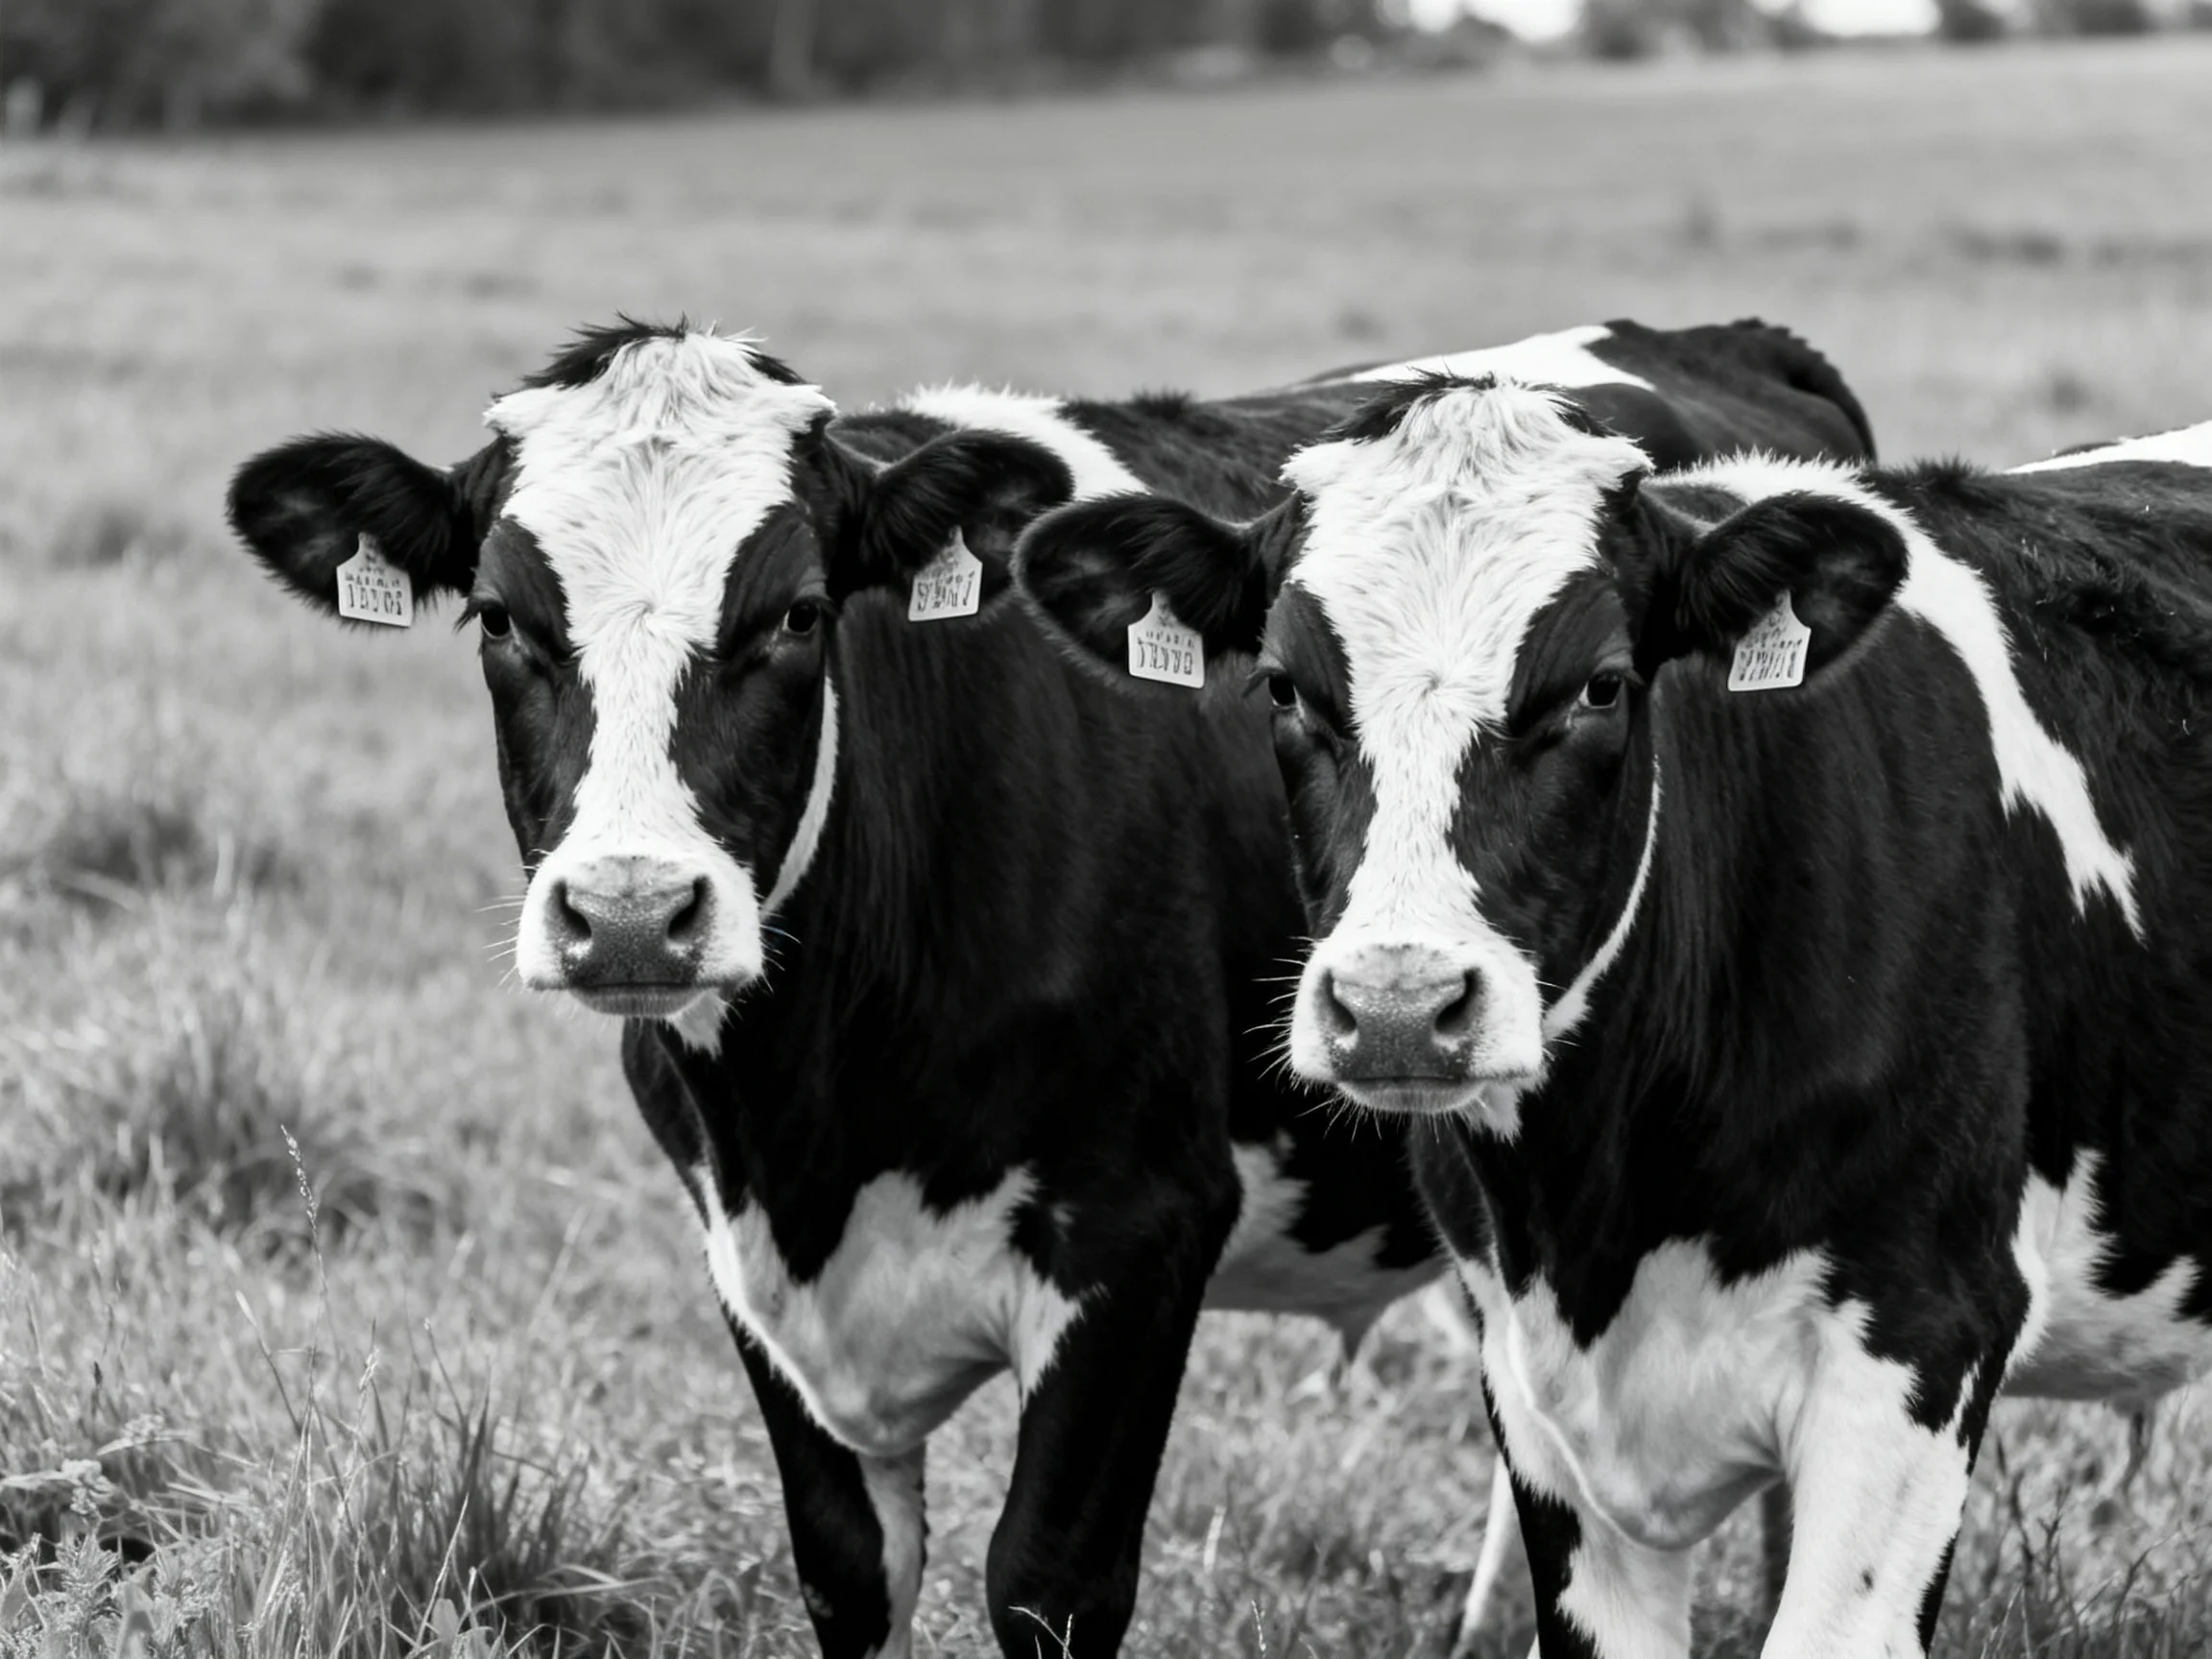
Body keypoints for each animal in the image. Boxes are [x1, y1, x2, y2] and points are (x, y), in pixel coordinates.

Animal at [223, 319, 1866, 1659]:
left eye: (799, 613)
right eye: (502, 622)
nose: (631, 915)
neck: (812, 1115)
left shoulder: (1141, 1232)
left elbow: (1048, 1580)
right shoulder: (744, 1255)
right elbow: (849, 1572)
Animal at [1016, 374, 2212, 1658]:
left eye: (1601, 685)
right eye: (1284, 688)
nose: (1397, 1007)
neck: (1606, 1204)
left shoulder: (1926, 1330)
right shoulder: (1534, 1390)